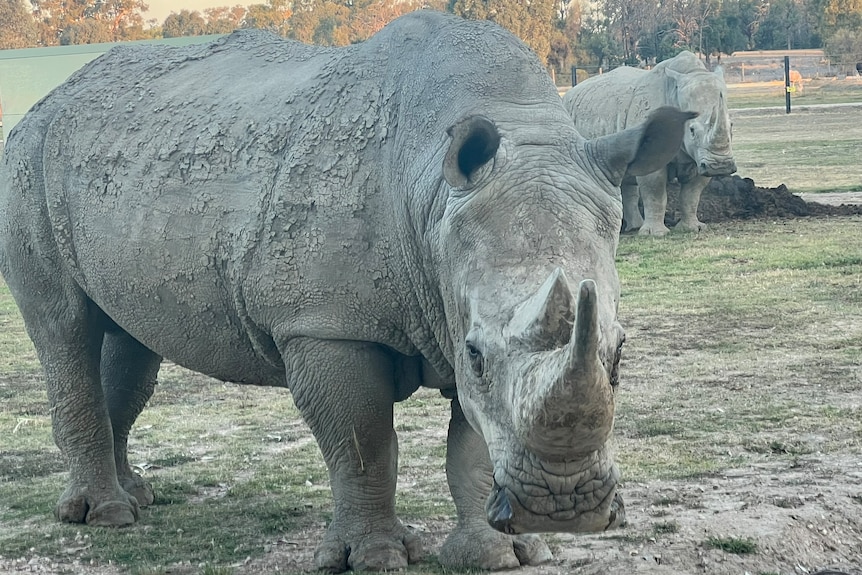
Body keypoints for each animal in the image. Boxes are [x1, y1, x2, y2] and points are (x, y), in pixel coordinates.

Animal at [0, 11, 691, 572]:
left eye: (620, 354)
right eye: (476, 354)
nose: (563, 506)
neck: (433, 193)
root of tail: (51, 98)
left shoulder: (450, 291)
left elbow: (469, 443)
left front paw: (502, 554)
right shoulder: (326, 323)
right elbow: (363, 440)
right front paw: (376, 557)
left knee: (129, 342)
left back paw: (136, 494)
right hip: (26, 160)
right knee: (64, 329)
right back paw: (106, 517)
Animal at [562, 51, 737, 235]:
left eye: (732, 125)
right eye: (692, 130)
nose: (721, 166)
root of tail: (568, 93)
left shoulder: (699, 158)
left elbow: (691, 194)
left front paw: (693, 228)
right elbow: (655, 192)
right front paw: (656, 234)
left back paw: (634, 227)